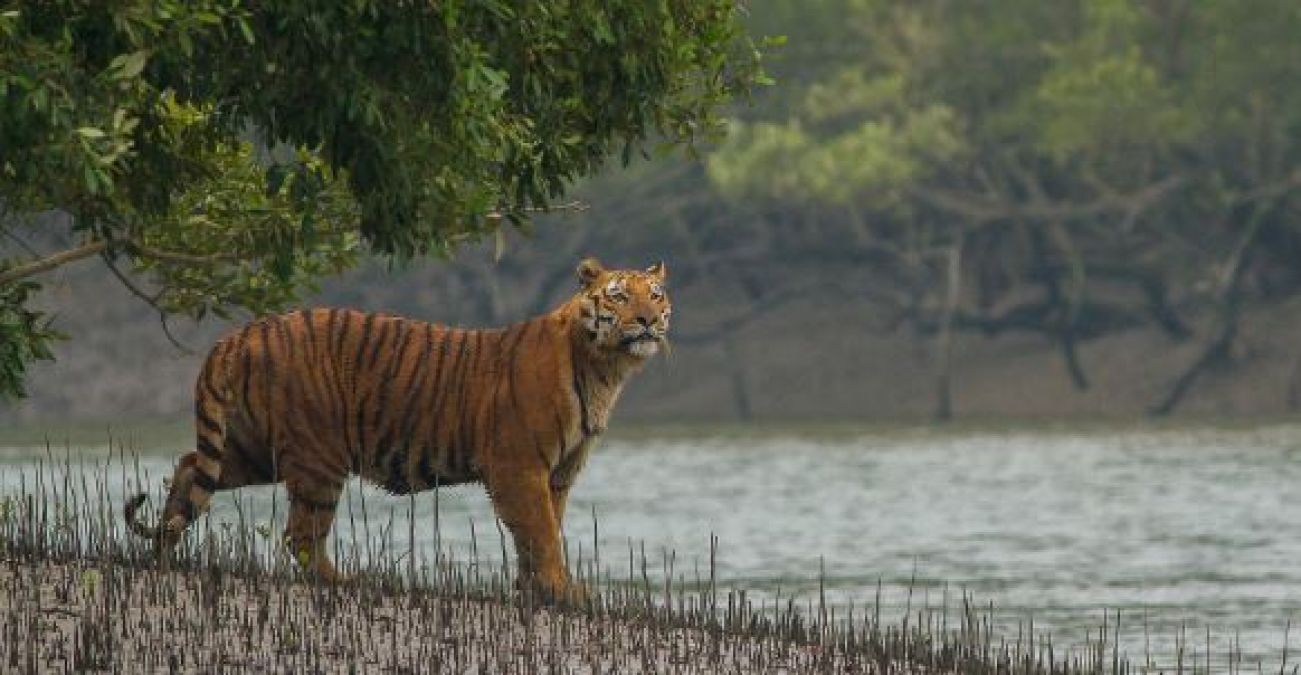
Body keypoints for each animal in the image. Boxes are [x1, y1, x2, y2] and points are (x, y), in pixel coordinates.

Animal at [124, 258, 671, 603]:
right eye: (620, 296)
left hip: (253, 449)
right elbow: (541, 533)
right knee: (300, 534)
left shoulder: (557, 473)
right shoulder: (519, 467)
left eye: (655, 295)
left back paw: (162, 553)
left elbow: (542, 532)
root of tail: (240, 333)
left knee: (189, 468)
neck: (605, 369)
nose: (647, 320)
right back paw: (345, 582)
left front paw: (535, 590)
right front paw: (562, 591)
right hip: (319, 456)